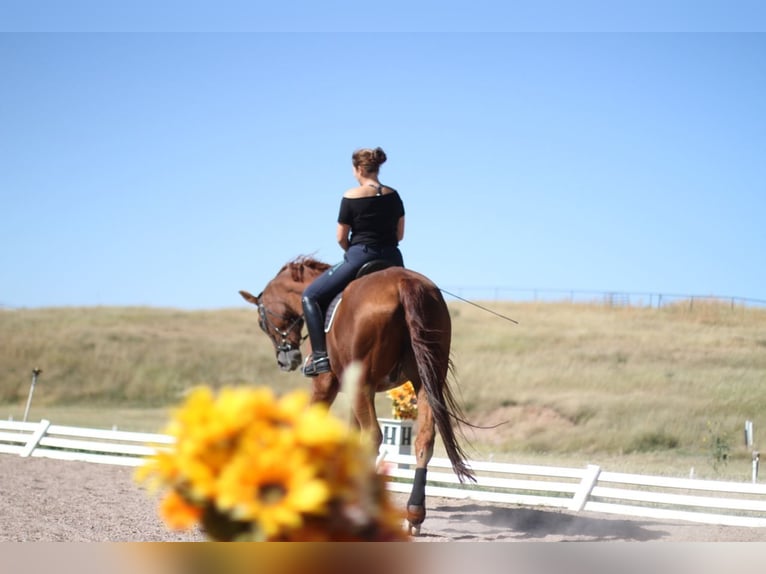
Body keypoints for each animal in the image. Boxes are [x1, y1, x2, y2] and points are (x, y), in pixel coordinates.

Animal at [239, 256, 475, 534]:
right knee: (424, 439)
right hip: (424, 380)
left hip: (365, 384)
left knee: (373, 436)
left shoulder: (325, 386)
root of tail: (403, 282)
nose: (286, 360)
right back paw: (414, 515)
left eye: (261, 322)